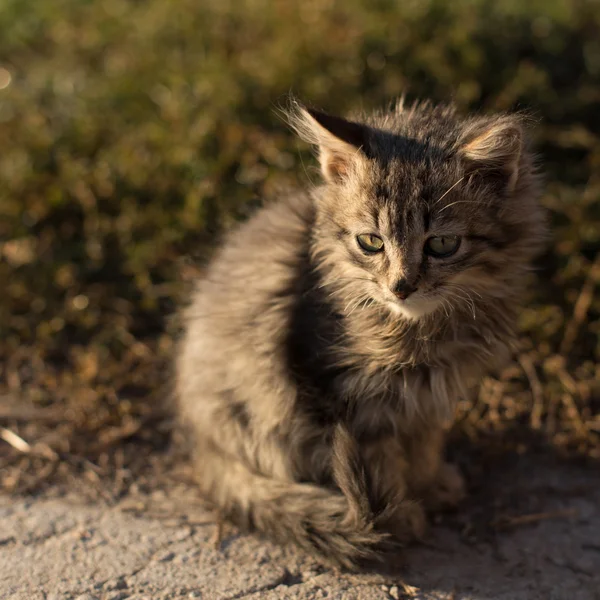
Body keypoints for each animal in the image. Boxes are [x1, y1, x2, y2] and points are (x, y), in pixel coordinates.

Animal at [176, 97, 548, 568]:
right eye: (371, 242)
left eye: (442, 244)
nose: (401, 287)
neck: (422, 333)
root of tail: (203, 443)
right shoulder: (346, 392)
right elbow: (380, 460)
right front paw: (399, 515)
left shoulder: (428, 394)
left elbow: (423, 443)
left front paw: (430, 485)